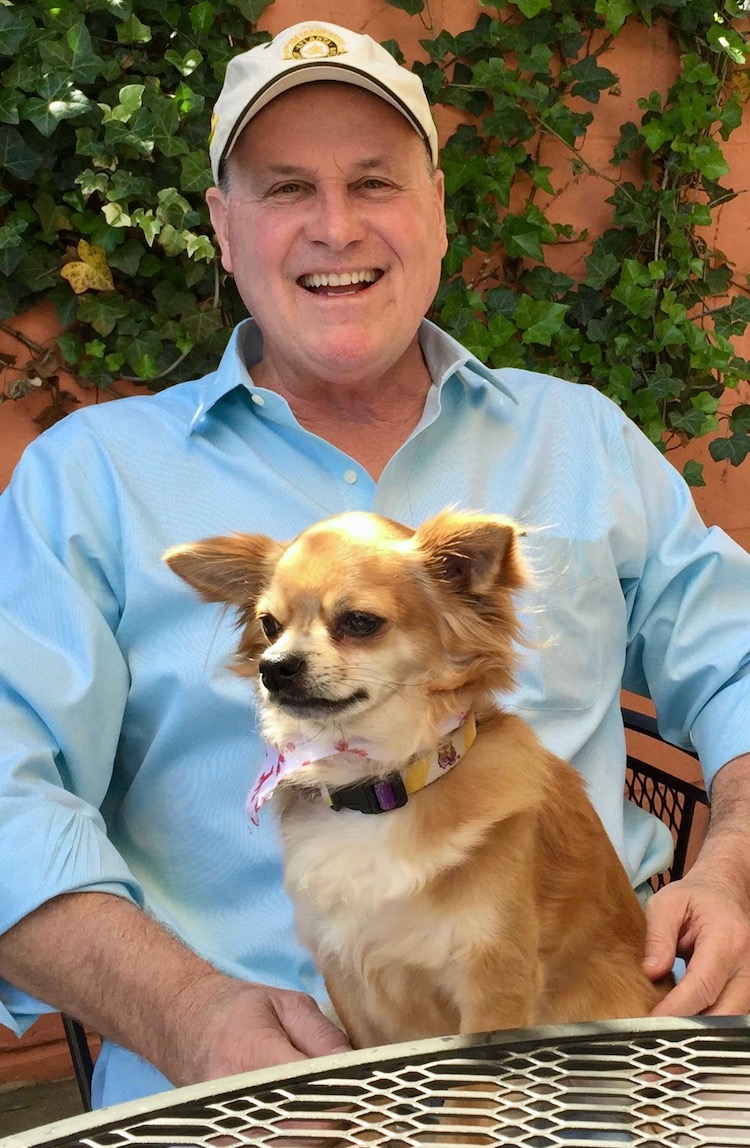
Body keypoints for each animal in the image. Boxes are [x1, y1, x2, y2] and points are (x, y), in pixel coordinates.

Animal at [165, 505, 670, 1051]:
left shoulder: (496, 980)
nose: (273, 666)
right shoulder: (347, 979)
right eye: (269, 625)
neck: (382, 786)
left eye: (359, 622)